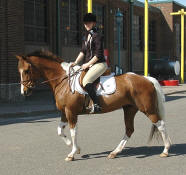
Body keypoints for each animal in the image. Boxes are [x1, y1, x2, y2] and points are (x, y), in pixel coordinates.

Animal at [16, 49, 171, 161]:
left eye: (27, 71)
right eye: (20, 71)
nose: (24, 92)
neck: (63, 80)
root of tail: (147, 79)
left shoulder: (71, 112)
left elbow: (73, 132)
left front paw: (72, 153)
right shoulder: (64, 112)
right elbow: (60, 130)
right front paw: (74, 148)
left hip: (148, 109)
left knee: (161, 125)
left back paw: (165, 151)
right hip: (129, 109)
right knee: (129, 130)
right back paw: (114, 152)